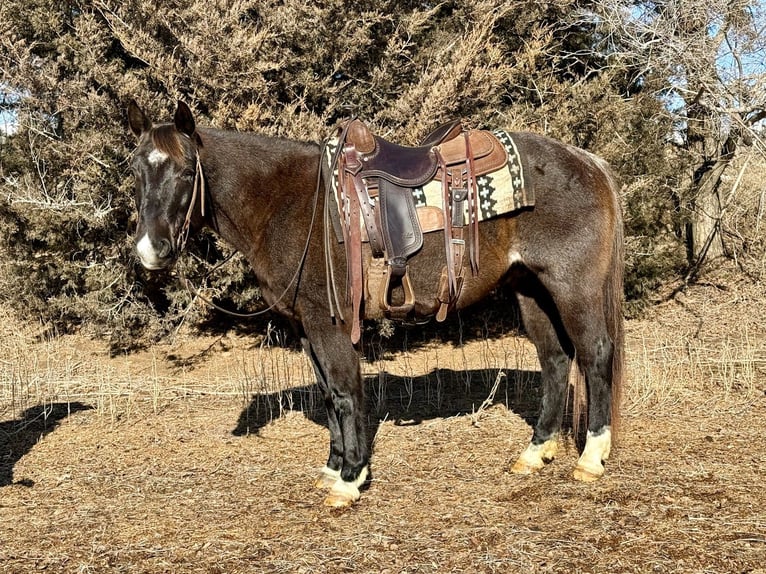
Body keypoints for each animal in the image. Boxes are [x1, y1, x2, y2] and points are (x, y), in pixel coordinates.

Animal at [126, 100, 624, 508]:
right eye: (135, 172)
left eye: (186, 172)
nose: (151, 250)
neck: (288, 203)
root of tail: (589, 162)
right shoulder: (304, 327)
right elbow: (328, 395)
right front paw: (333, 468)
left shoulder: (329, 322)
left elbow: (346, 392)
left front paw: (350, 479)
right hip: (531, 290)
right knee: (556, 360)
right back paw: (535, 452)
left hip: (572, 286)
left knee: (595, 355)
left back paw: (591, 458)